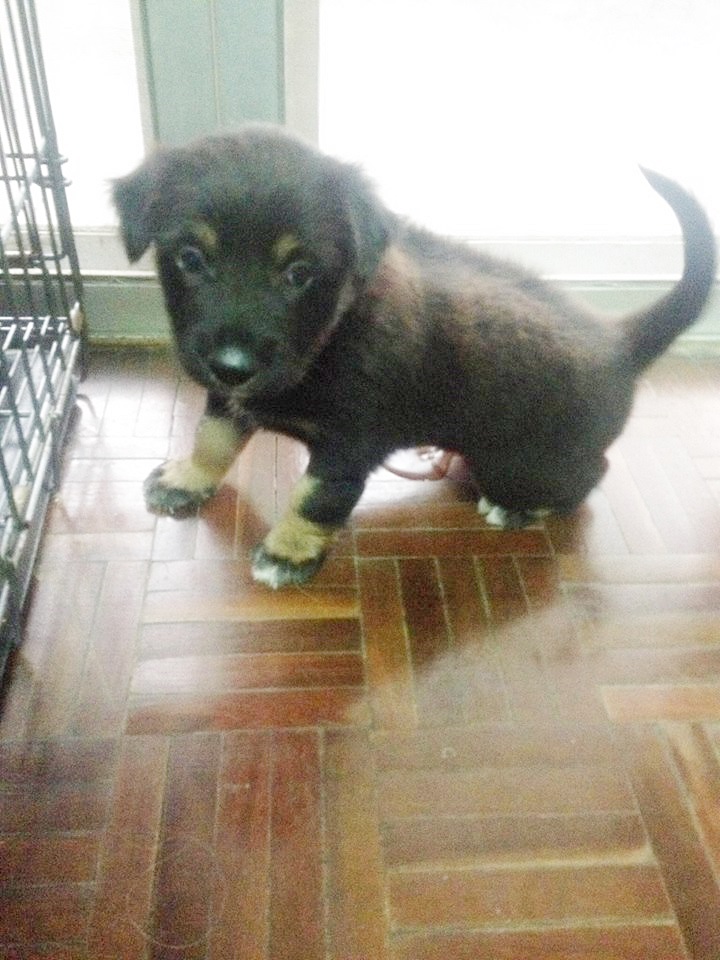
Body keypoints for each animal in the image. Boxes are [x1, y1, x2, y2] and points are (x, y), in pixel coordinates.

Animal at [113, 125, 716, 588]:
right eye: (190, 258)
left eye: (299, 273)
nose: (233, 365)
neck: (331, 336)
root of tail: (620, 343)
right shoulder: (228, 398)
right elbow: (212, 439)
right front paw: (187, 479)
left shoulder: (347, 446)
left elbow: (312, 499)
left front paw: (287, 551)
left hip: (522, 463)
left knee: (590, 476)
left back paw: (518, 508)